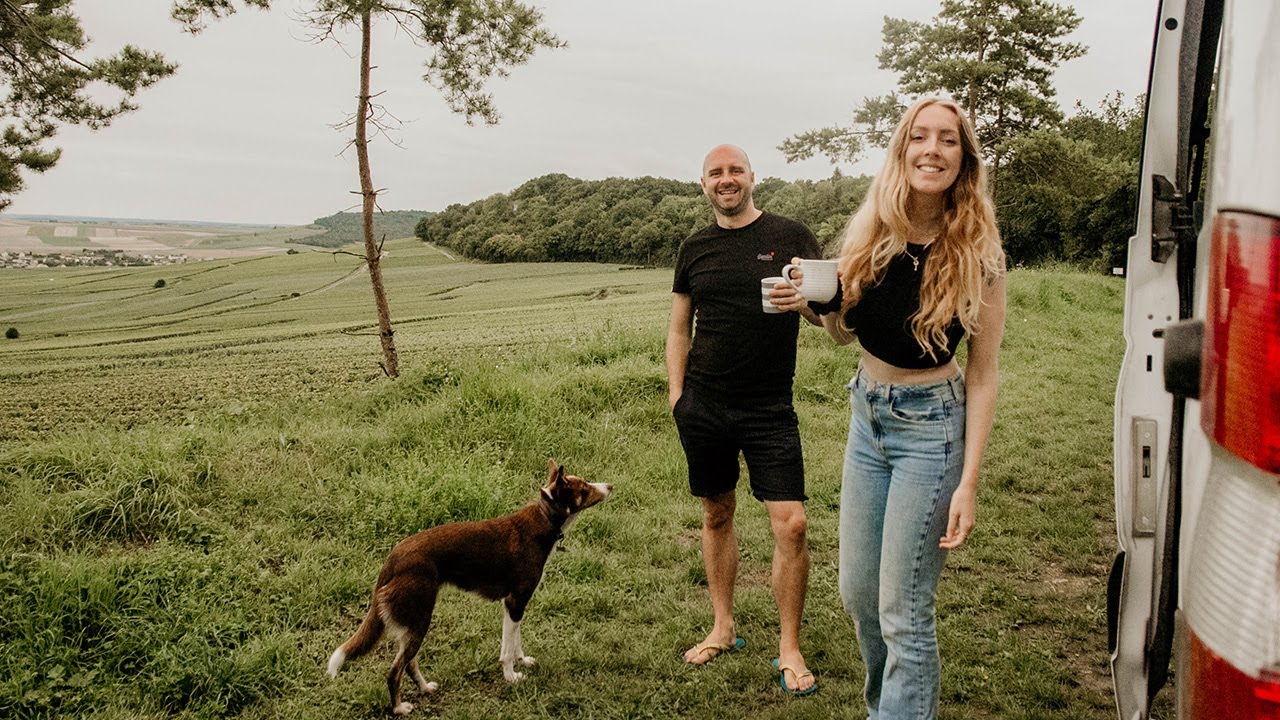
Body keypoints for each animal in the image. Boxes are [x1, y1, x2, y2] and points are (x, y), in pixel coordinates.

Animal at [326, 459, 612, 715]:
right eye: (584, 488)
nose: (610, 485)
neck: (545, 519)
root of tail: (393, 558)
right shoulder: (515, 601)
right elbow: (507, 649)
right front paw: (511, 676)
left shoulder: (515, 604)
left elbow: (516, 641)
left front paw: (522, 661)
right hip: (420, 618)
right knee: (394, 671)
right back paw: (399, 708)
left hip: (413, 623)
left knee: (408, 663)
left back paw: (425, 689)